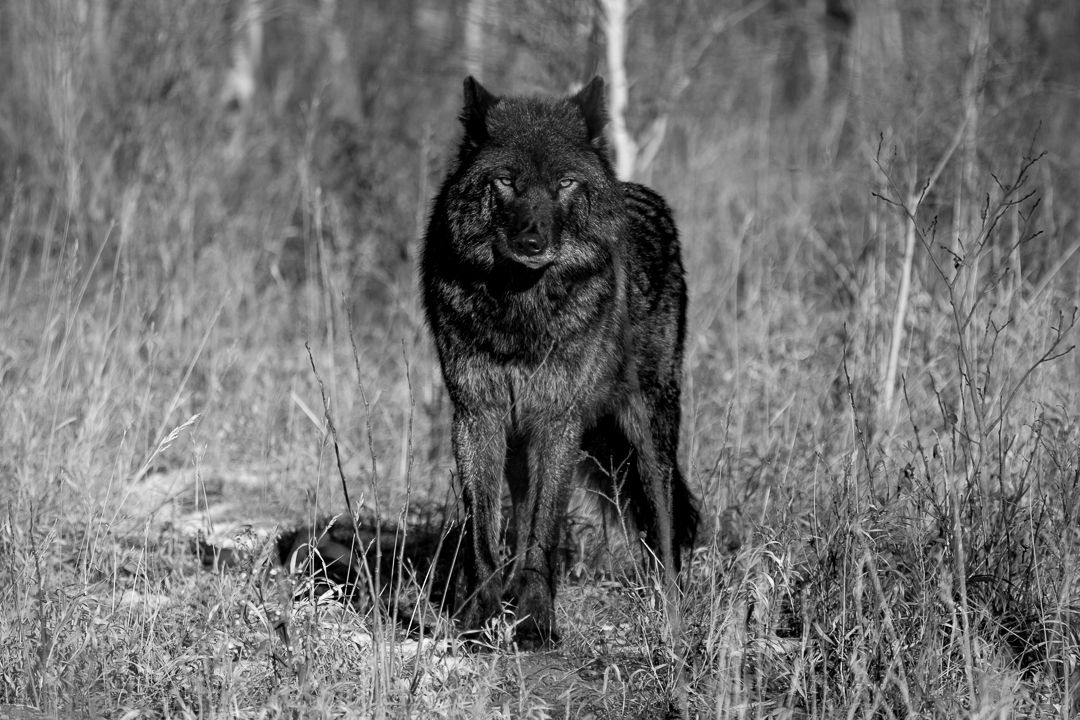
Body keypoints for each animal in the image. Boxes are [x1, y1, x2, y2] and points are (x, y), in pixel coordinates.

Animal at [420, 76, 699, 649]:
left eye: (565, 183)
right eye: (506, 181)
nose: (532, 241)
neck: (520, 309)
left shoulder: (558, 420)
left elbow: (545, 530)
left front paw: (533, 621)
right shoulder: (477, 416)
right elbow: (484, 531)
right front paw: (482, 616)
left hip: (649, 431)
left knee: (662, 521)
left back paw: (670, 613)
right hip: (523, 442)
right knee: (521, 512)